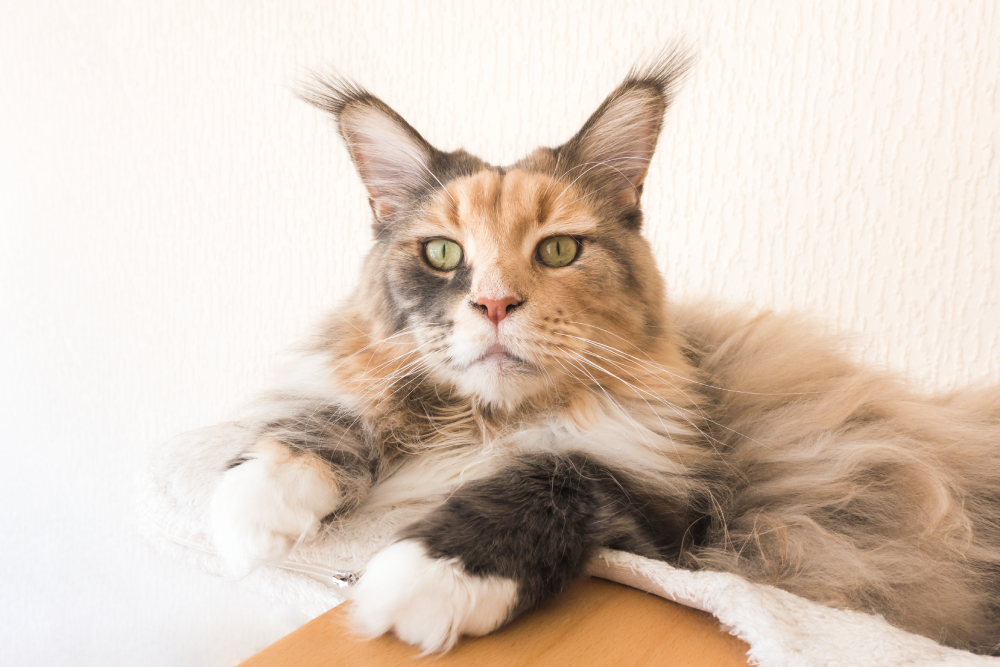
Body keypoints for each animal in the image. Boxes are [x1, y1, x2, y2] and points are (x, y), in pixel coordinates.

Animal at [209, 53, 1000, 656]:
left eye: (559, 250)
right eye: (442, 253)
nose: (494, 305)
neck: (485, 423)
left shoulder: (668, 510)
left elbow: (550, 476)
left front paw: (425, 578)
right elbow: (327, 418)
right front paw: (253, 508)